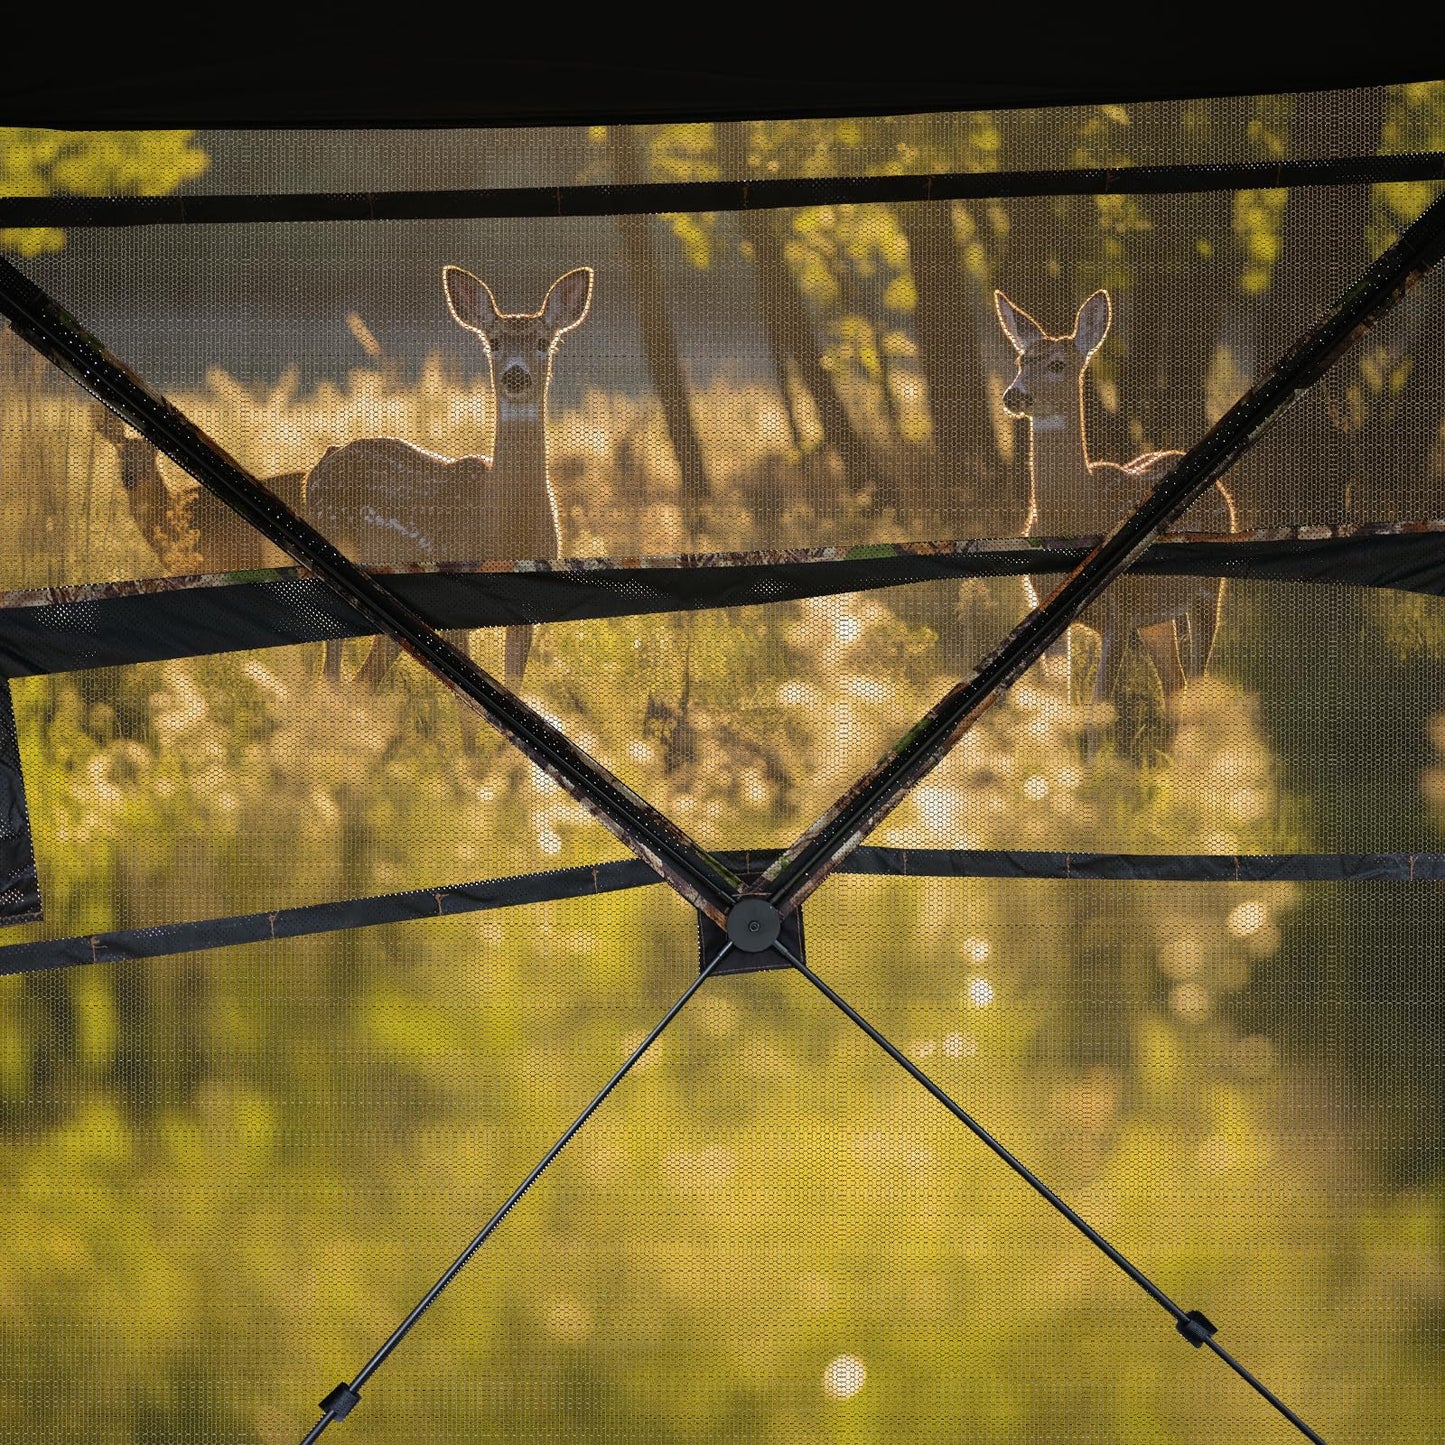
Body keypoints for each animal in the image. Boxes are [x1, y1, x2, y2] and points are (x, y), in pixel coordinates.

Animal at [303, 265, 593, 692]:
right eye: (493, 341)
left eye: (543, 341)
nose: (516, 376)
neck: (502, 529)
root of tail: (320, 464)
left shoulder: (529, 612)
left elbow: (512, 684)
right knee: (335, 674)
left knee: (362, 680)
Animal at [993, 288, 1237, 755]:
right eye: (1019, 360)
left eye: (1058, 364)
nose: (1015, 395)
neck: (1076, 513)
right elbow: (1065, 706)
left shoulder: (1118, 616)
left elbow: (1095, 715)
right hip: (1156, 615)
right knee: (1174, 683)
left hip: (1207, 588)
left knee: (1195, 678)